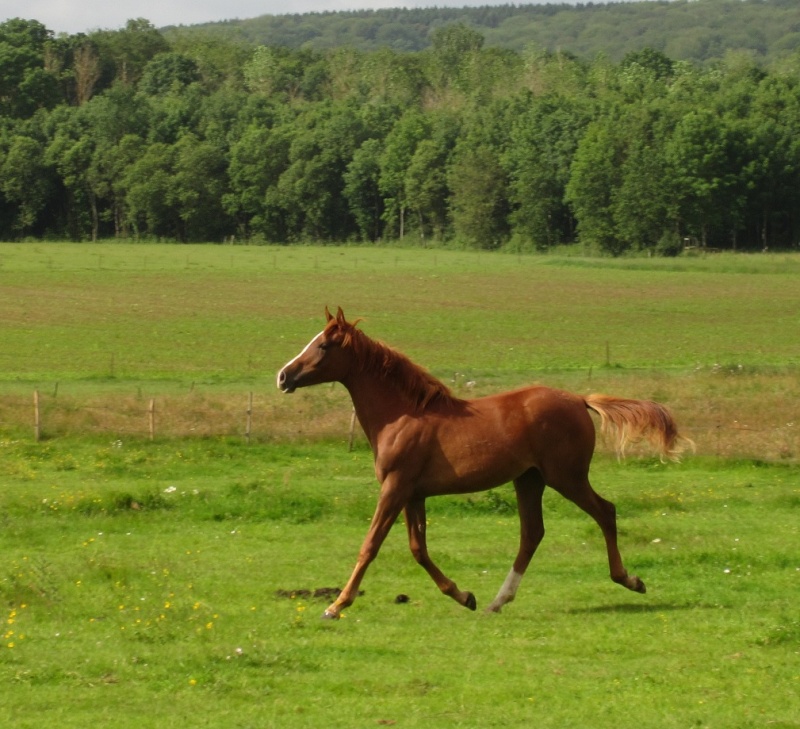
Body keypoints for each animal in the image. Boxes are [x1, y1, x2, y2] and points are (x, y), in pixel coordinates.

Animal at [276, 304, 688, 616]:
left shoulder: (395, 488)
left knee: (605, 512)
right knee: (532, 533)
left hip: (566, 476)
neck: (402, 415)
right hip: (530, 479)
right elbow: (418, 549)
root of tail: (579, 399)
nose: (283, 376)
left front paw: (336, 606)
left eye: (324, 345)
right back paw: (496, 601)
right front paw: (464, 596)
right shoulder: (413, 493)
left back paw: (630, 580)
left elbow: (370, 545)